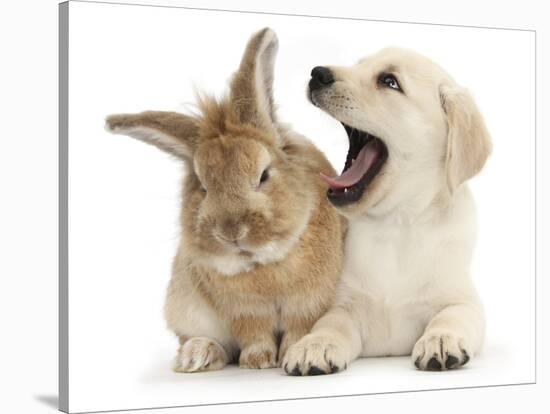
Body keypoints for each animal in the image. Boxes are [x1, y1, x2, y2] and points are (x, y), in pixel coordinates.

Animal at [105, 28, 344, 372]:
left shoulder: (308, 304)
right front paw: (258, 362)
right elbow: (253, 334)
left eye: (263, 175)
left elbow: (299, 328)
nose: (231, 232)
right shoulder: (244, 312)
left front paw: (288, 352)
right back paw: (197, 355)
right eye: (203, 187)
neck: (263, 263)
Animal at [284, 47, 492, 376]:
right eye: (359, 65)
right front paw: (314, 345)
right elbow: (330, 324)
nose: (317, 73)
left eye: (389, 81)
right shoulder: (344, 304)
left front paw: (441, 339)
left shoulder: (462, 298)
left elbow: (453, 315)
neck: (396, 222)